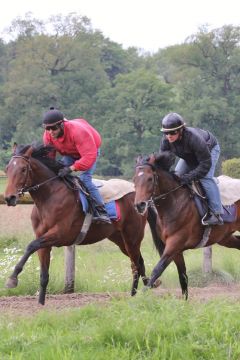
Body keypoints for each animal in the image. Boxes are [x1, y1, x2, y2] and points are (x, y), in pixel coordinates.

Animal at [3, 143, 162, 304]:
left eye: (23, 169)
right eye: (7, 168)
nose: (9, 197)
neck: (50, 197)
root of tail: (140, 197)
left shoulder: (60, 235)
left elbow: (31, 246)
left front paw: (12, 279)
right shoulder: (43, 238)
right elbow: (43, 275)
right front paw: (41, 303)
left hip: (132, 236)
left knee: (136, 264)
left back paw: (137, 295)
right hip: (120, 239)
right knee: (139, 262)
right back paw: (142, 290)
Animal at [134, 152, 240, 292]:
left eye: (150, 179)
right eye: (134, 179)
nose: (139, 205)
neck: (174, 203)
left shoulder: (174, 245)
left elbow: (157, 270)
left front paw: (142, 294)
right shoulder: (177, 251)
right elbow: (183, 278)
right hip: (224, 237)